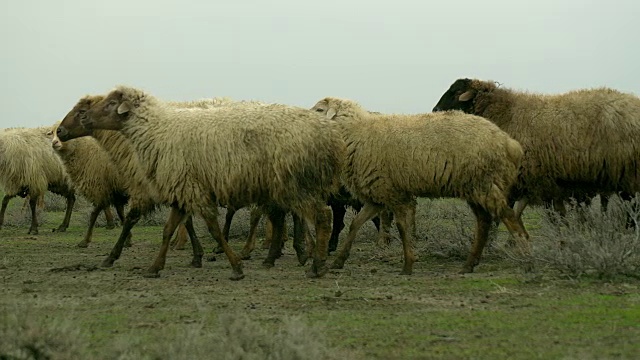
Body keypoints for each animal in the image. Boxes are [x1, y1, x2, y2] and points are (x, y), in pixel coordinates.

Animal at [312, 97, 528, 274]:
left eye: (319, 110)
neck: (359, 132)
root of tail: (509, 143)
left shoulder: (394, 193)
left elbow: (401, 226)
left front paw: (408, 264)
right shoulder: (378, 194)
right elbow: (356, 224)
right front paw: (339, 261)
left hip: (485, 184)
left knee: (508, 216)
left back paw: (526, 255)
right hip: (475, 187)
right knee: (484, 222)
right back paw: (469, 264)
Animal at [430, 78, 640, 219]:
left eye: (456, 92)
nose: (435, 110)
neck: (505, 113)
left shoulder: (540, 179)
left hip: (628, 176)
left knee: (632, 211)